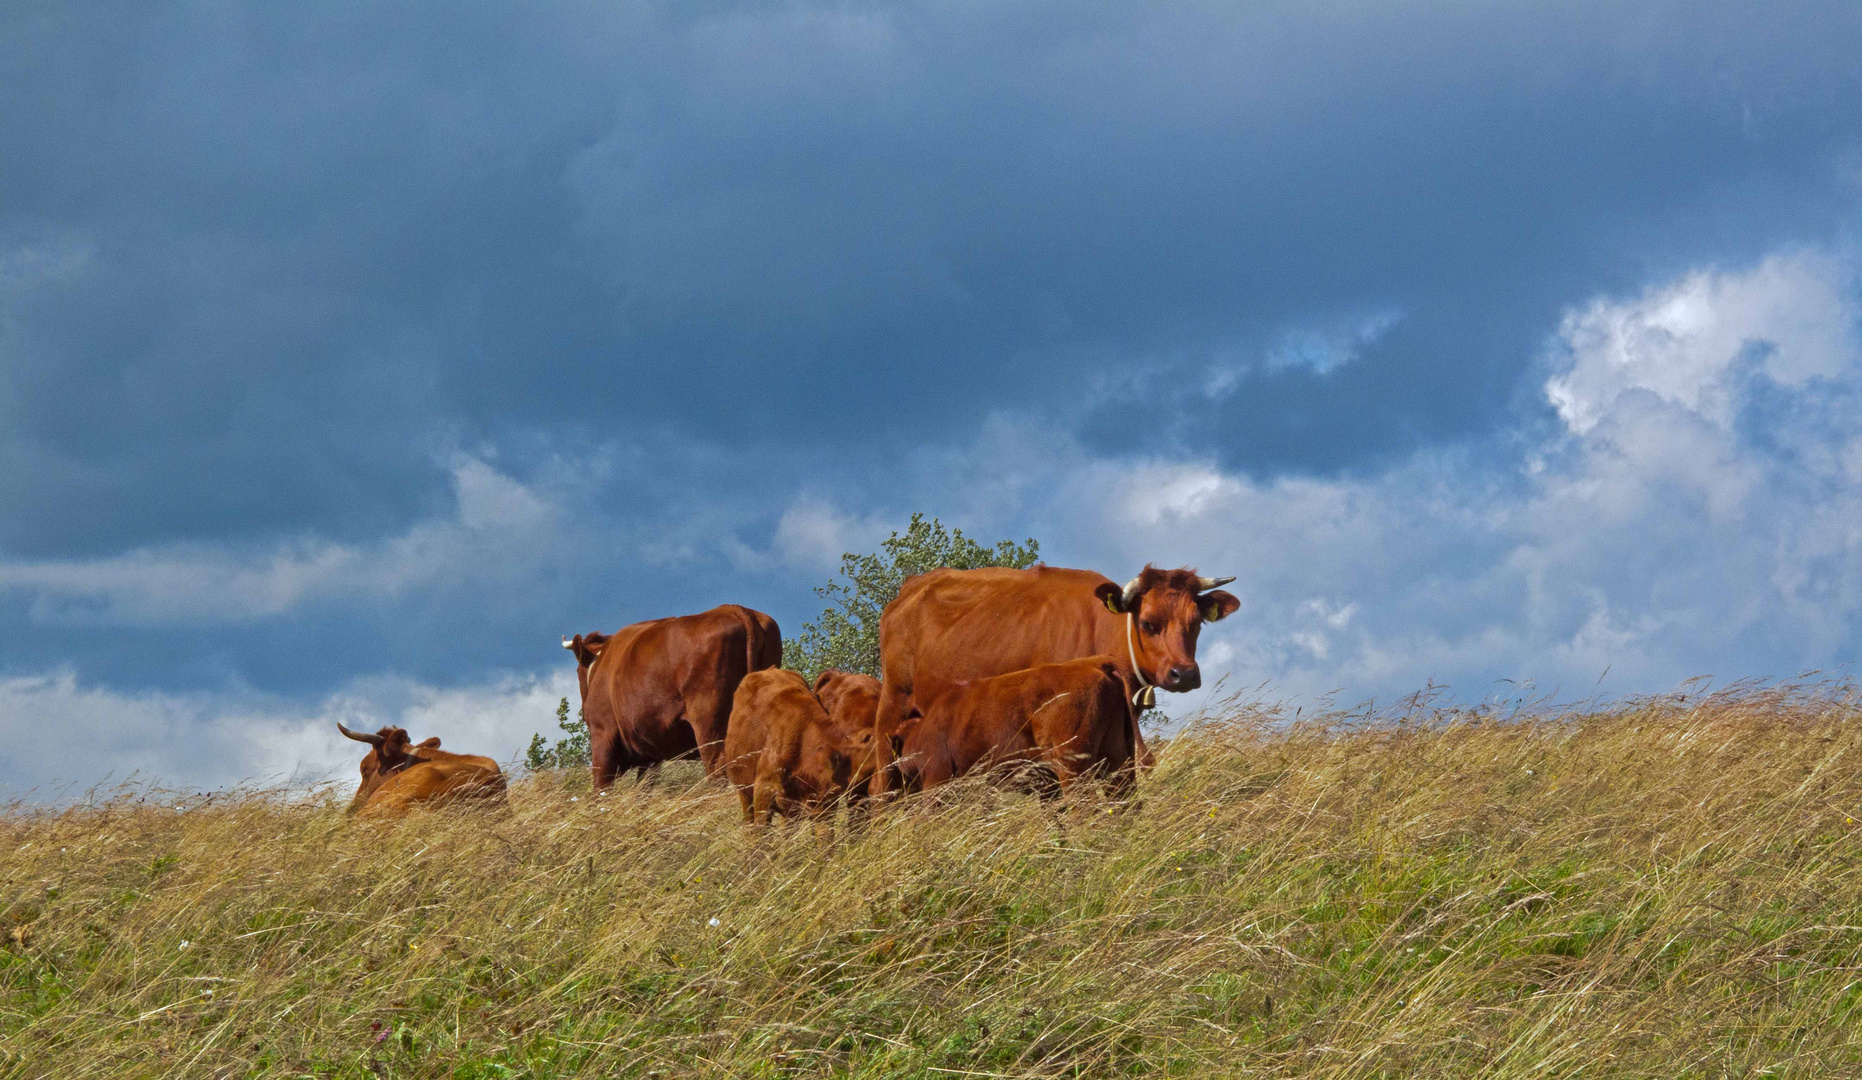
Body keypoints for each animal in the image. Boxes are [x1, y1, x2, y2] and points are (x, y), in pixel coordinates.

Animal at [558, 603, 778, 789]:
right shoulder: (649, 753)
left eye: (578, 671)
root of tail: (733, 609)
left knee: (718, 771)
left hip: (710, 725)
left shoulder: (602, 734)